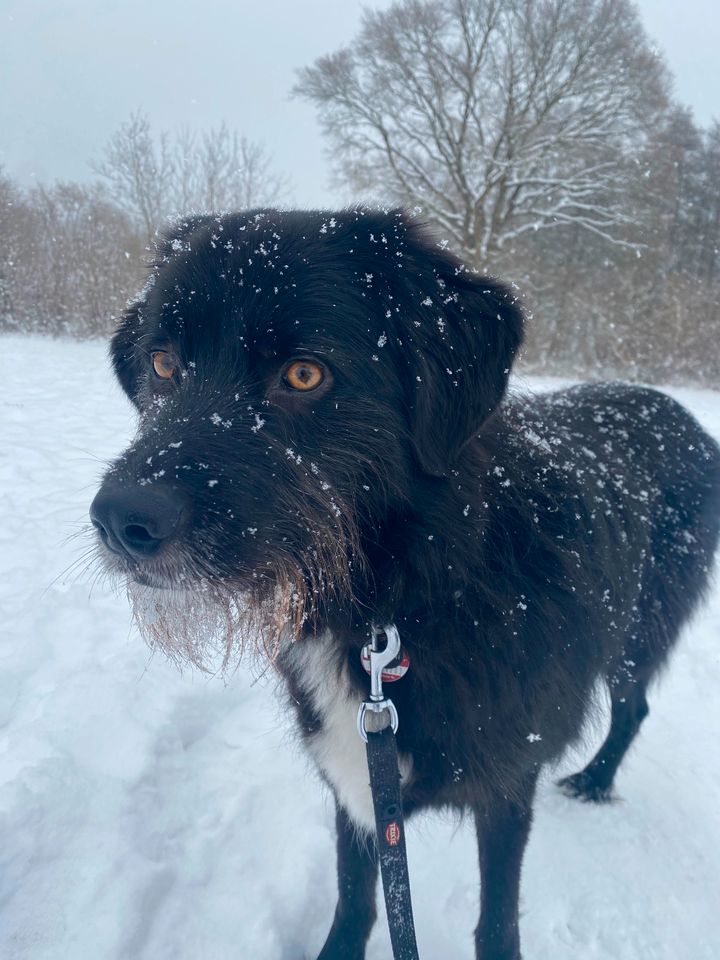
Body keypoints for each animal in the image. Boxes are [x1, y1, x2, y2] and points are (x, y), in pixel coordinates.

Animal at [90, 210, 720, 960]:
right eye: (161, 363)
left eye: (304, 373)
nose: (120, 521)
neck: (402, 603)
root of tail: (682, 416)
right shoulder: (359, 774)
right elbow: (357, 895)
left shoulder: (508, 780)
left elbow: (497, 918)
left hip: (636, 634)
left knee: (634, 707)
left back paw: (595, 781)